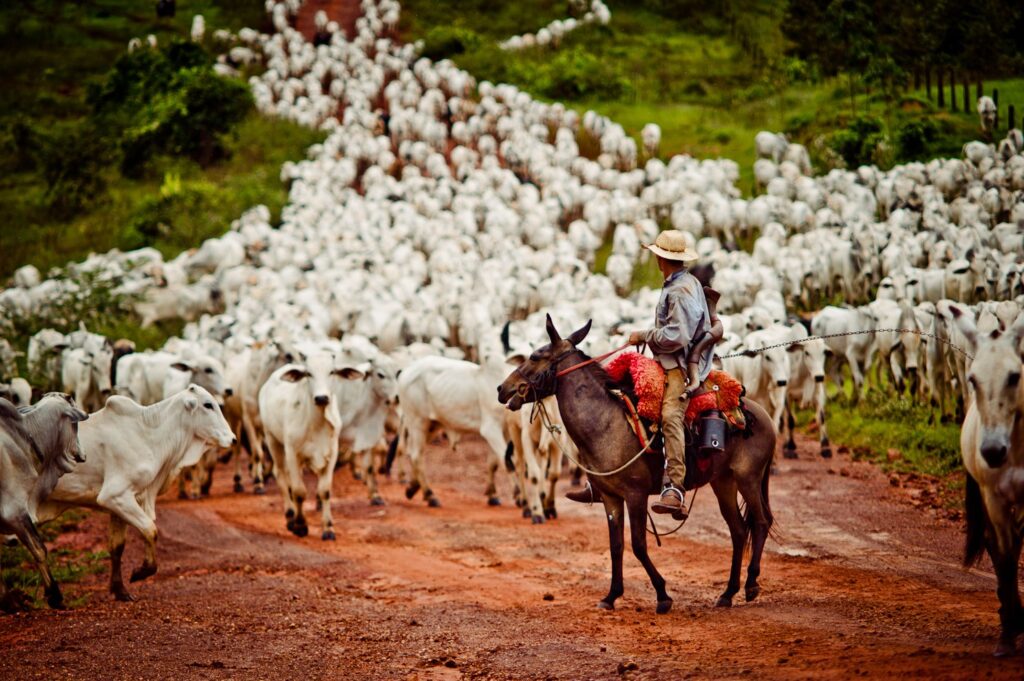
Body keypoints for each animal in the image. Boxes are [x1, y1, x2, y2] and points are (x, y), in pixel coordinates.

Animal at [37, 385, 235, 601]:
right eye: (208, 405)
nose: (233, 438)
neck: (147, 434)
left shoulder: (118, 506)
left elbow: (117, 547)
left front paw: (120, 590)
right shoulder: (115, 496)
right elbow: (150, 530)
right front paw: (142, 571)